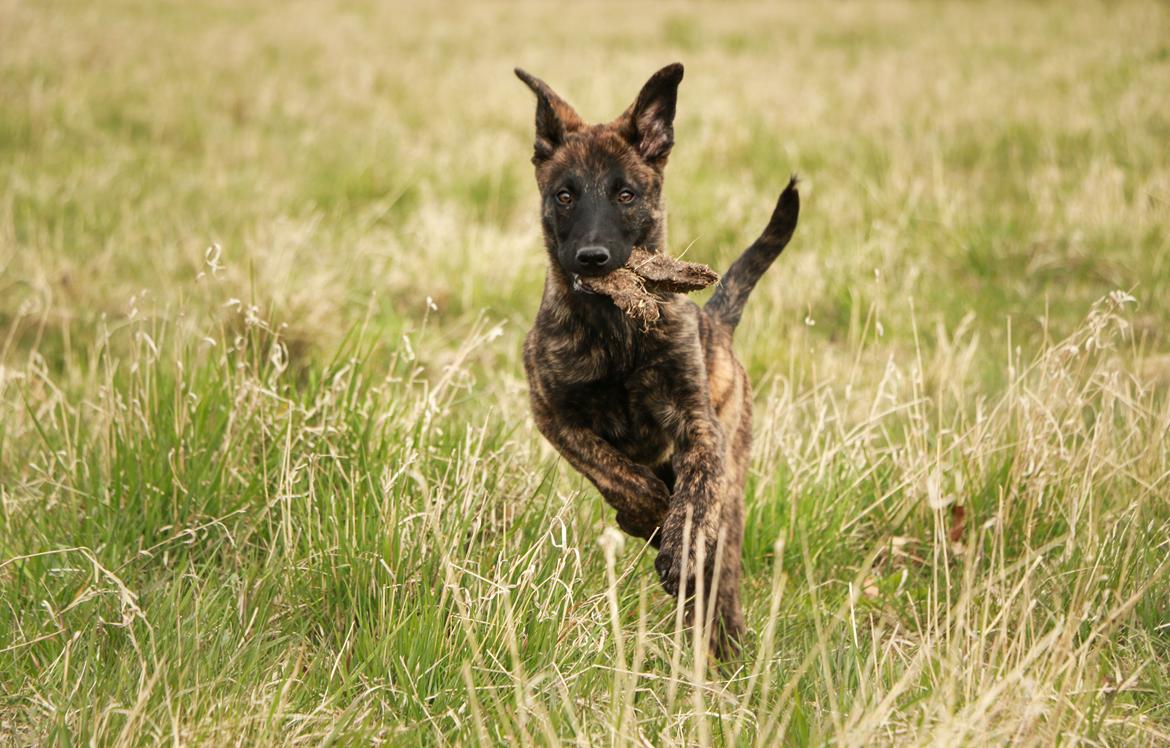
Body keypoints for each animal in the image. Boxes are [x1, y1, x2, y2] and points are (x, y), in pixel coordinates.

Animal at [517, 61, 800, 660]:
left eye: (625, 194)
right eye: (564, 195)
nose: (593, 258)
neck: (615, 329)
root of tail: (717, 324)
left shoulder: (699, 427)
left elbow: (692, 497)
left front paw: (676, 542)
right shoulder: (553, 415)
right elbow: (617, 472)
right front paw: (646, 512)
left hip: (733, 478)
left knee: (723, 567)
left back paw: (725, 641)